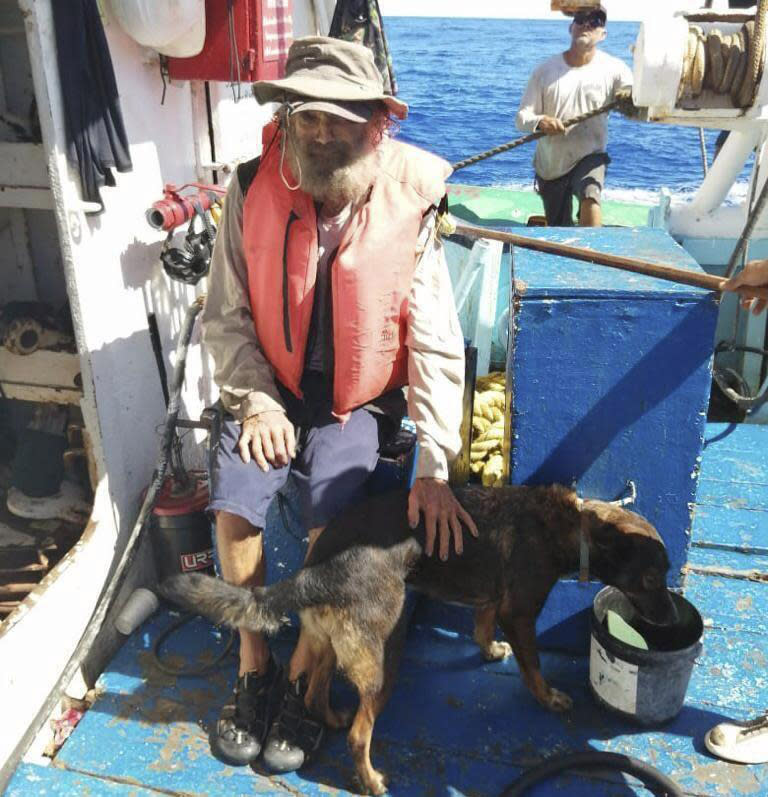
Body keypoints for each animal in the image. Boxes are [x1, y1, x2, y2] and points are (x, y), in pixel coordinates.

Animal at [160, 482, 672, 792]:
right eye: (651, 579)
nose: (667, 622)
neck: (572, 527)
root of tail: (315, 571)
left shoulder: (490, 599)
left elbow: (482, 625)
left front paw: (489, 650)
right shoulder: (519, 611)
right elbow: (532, 666)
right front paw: (549, 698)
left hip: (328, 643)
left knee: (315, 693)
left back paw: (332, 717)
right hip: (385, 658)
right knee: (359, 734)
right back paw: (370, 779)